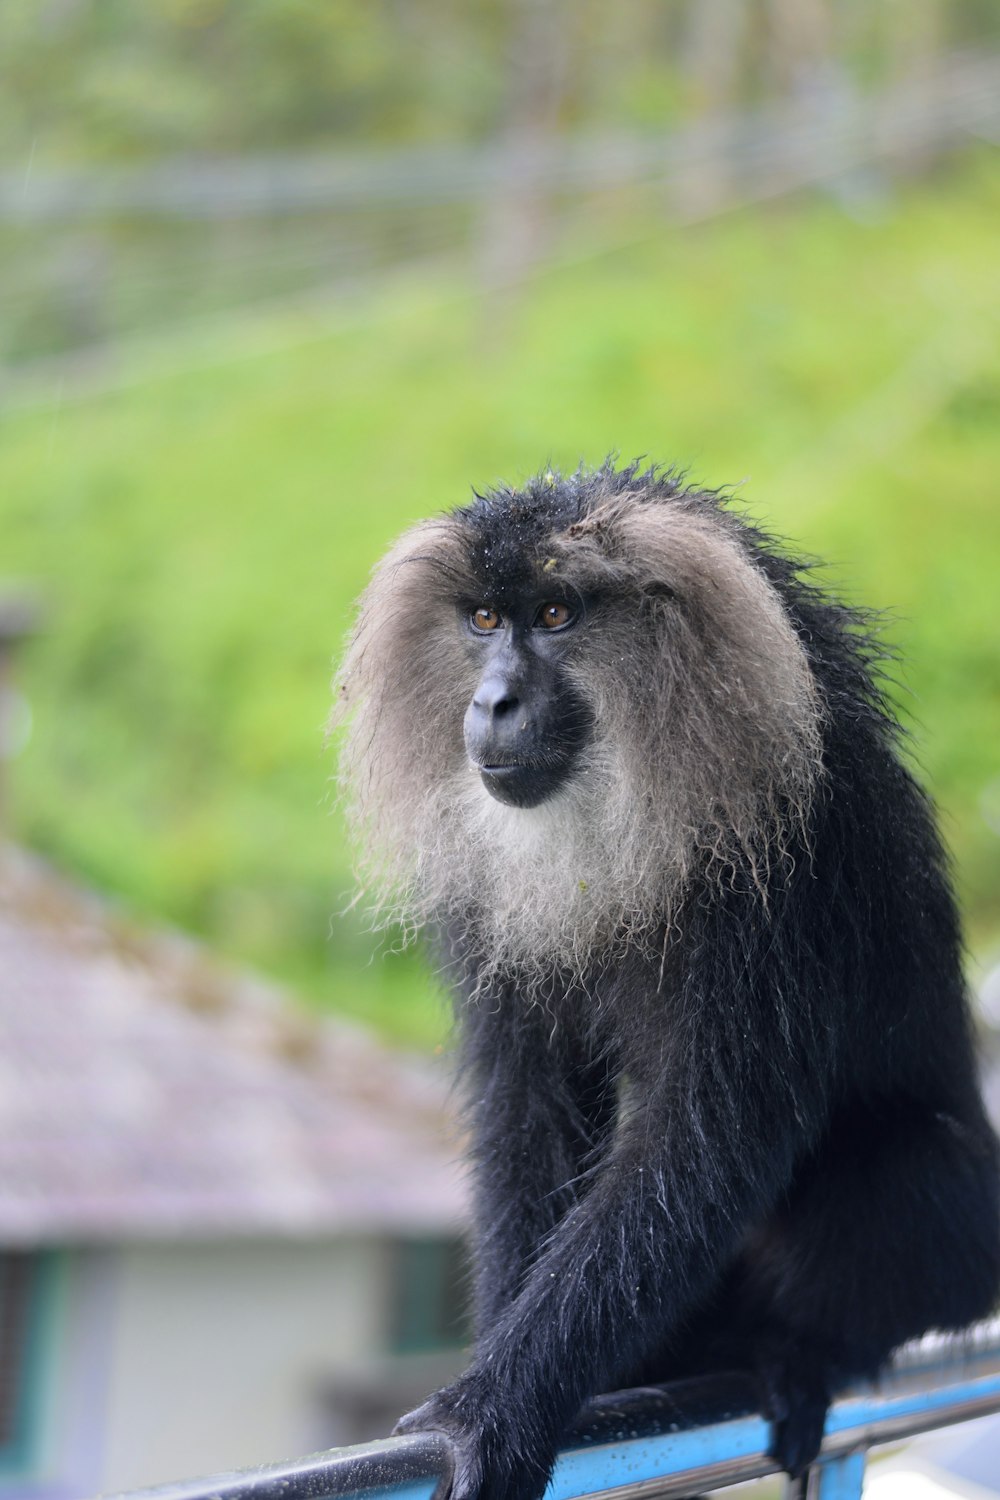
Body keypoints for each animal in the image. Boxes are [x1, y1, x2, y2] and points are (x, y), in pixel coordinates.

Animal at [329, 462, 1000, 1494]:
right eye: (483, 619)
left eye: (556, 613)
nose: (493, 704)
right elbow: (529, 1110)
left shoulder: (782, 862)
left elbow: (702, 1138)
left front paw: (496, 1410)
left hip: (958, 1239)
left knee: (901, 1172)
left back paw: (795, 1354)